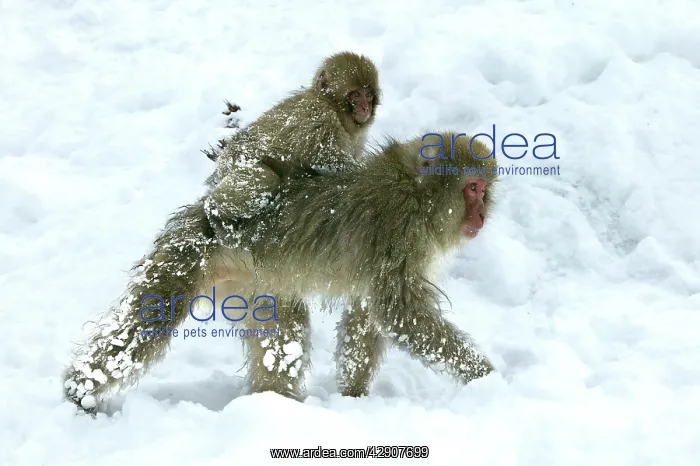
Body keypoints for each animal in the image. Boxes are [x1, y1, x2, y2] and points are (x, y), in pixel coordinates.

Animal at [62, 132, 498, 413]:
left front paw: (352, 397)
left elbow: (365, 316)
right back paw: (79, 393)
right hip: (185, 257)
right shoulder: (398, 232)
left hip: (256, 287)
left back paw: (276, 407)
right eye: (472, 187)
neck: (417, 193)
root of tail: (201, 212)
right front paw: (486, 378)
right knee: (145, 329)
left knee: (283, 336)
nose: (481, 215)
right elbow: (400, 313)